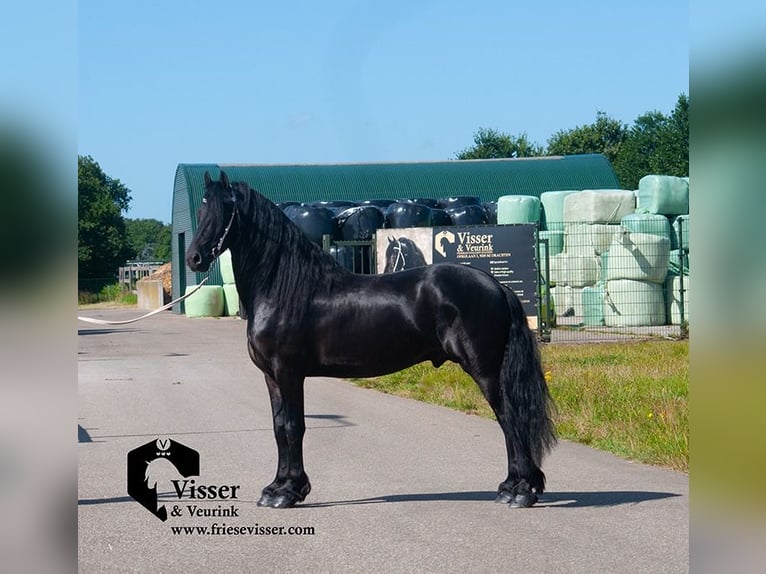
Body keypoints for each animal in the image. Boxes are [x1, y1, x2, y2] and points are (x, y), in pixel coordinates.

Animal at [186, 173, 560, 510]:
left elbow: (294, 427)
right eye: (202, 210)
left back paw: (520, 492)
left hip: (487, 371)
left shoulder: (289, 373)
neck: (284, 287)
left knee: (510, 419)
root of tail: (496, 285)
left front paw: (288, 493)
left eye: (225, 209)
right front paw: (278, 488)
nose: (194, 258)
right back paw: (512, 487)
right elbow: (279, 428)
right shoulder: (272, 377)